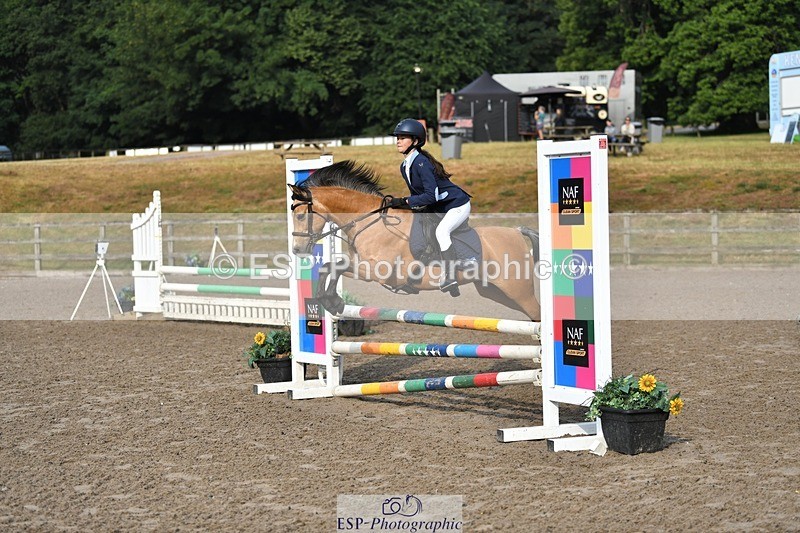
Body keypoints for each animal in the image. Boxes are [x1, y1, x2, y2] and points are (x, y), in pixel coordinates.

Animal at [289, 160, 541, 321]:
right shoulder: (363, 267)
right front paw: (332, 302)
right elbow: (330, 266)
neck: (369, 221)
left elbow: (335, 265)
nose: (298, 249)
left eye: (300, 216)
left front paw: (333, 301)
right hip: (495, 291)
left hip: (518, 290)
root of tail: (517, 232)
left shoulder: (377, 271)